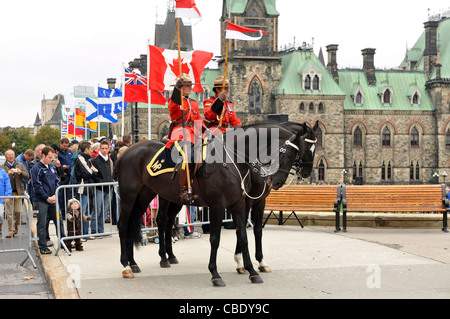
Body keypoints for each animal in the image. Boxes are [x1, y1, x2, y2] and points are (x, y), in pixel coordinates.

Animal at [116, 121, 312, 286]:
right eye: (289, 152)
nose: (276, 182)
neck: (233, 161)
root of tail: (127, 151)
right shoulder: (218, 206)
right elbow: (215, 239)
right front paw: (216, 274)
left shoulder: (240, 204)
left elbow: (244, 236)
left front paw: (251, 270)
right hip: (130, 196)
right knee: (126, 224)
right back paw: (126, 265)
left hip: (148, 195)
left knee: (143, 221)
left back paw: (136, 262)